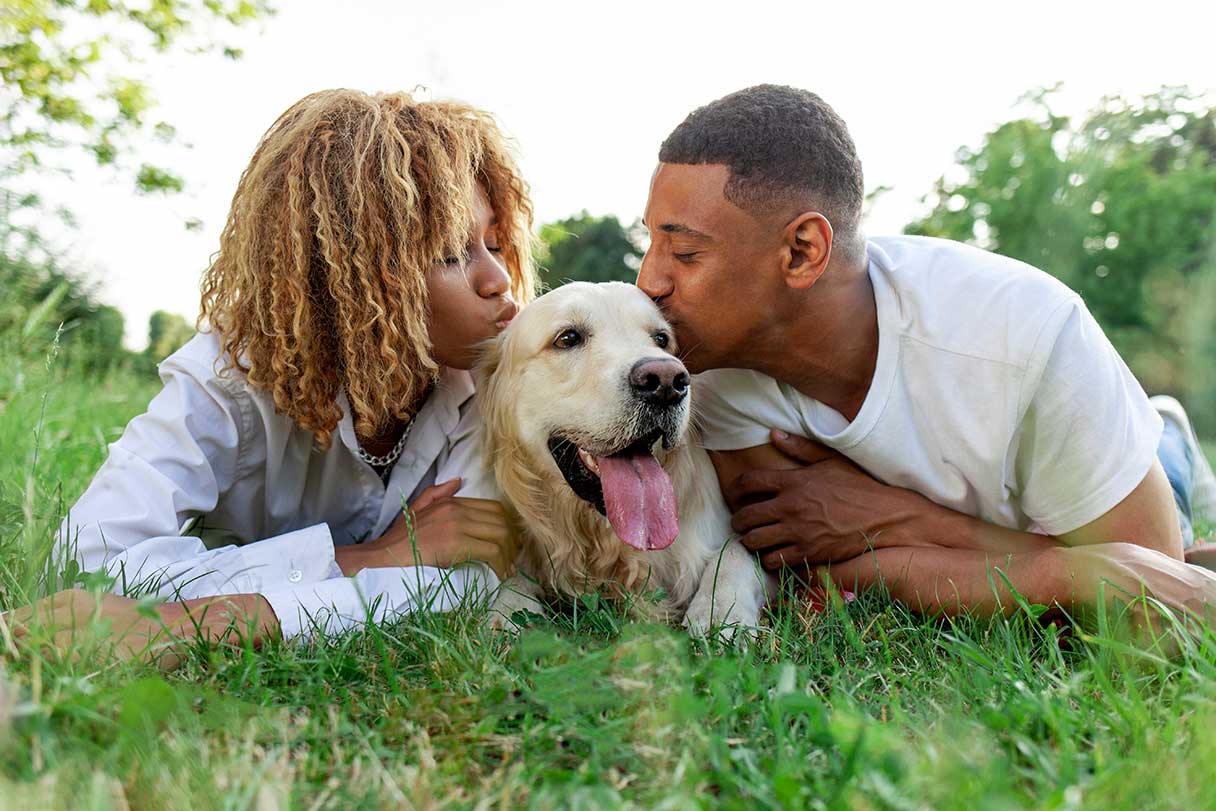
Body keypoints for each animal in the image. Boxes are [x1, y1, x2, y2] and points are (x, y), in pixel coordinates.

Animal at [476, 282, 768, 637]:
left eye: (661, 339)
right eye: (568, 338)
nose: (666, 382)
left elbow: (735, 554)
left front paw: (721, 614)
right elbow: (514, 578)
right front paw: (506, 615)